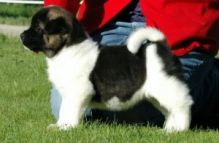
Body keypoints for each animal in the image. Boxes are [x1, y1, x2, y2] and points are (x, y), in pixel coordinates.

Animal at [19, 6, 192, 132]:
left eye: (37, 29)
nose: (21, 36)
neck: (66, 49)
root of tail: (161, 46)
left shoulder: (77, 92)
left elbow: (69, 110)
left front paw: (67, 127)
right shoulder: (68, 94)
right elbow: (64, 110)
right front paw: (60, 125)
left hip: (167, 87)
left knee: (182, 106)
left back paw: (180, 129)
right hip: (157, 94)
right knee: (169, 110)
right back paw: (169, 129)